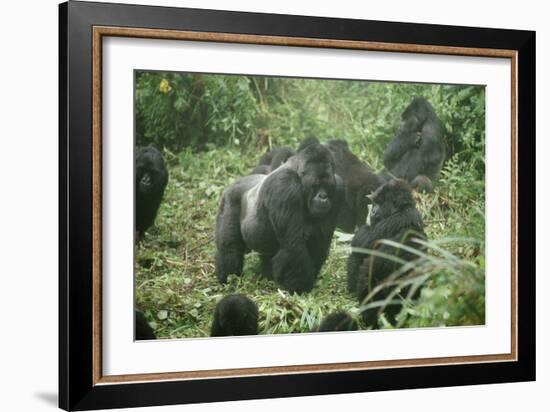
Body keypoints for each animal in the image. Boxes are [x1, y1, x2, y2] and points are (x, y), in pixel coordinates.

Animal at [215, 141, 340, 292]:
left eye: (327, 186)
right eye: (315, 185)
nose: (323, 197)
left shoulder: (338, 189)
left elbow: (319, 243)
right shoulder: (284, 187)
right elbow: (293, 245)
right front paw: (300, 287)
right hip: (229, 199)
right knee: (229, 248)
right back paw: (228, 279)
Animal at [350, 179, 426, 326]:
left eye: (379, 203)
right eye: (374, 203)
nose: (372, 211)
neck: (403, 208)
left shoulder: (391, 221)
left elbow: (362, 241)